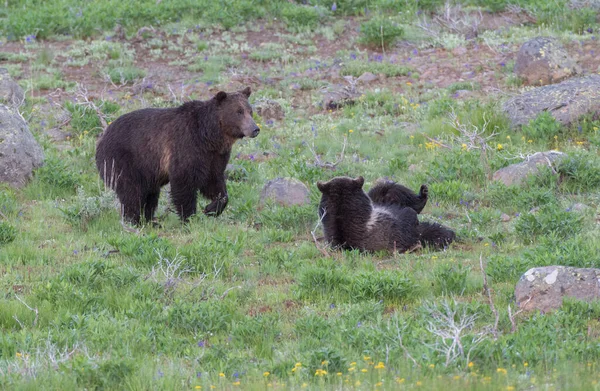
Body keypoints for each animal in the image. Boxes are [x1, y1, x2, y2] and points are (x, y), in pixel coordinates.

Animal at [95, 87, 258, 225]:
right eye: (239, 111)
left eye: (250, 111)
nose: (255, 129)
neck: (210, 136)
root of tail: (102, 137)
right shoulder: (186, 146)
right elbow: (184, 183)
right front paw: (189, 218)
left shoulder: (214, 157)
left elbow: (215, 182)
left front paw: (211, 209)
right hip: (125, 160)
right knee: (132, 192)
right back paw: (134, 221)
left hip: (146, 170)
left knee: (150, 194)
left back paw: (150, 221)